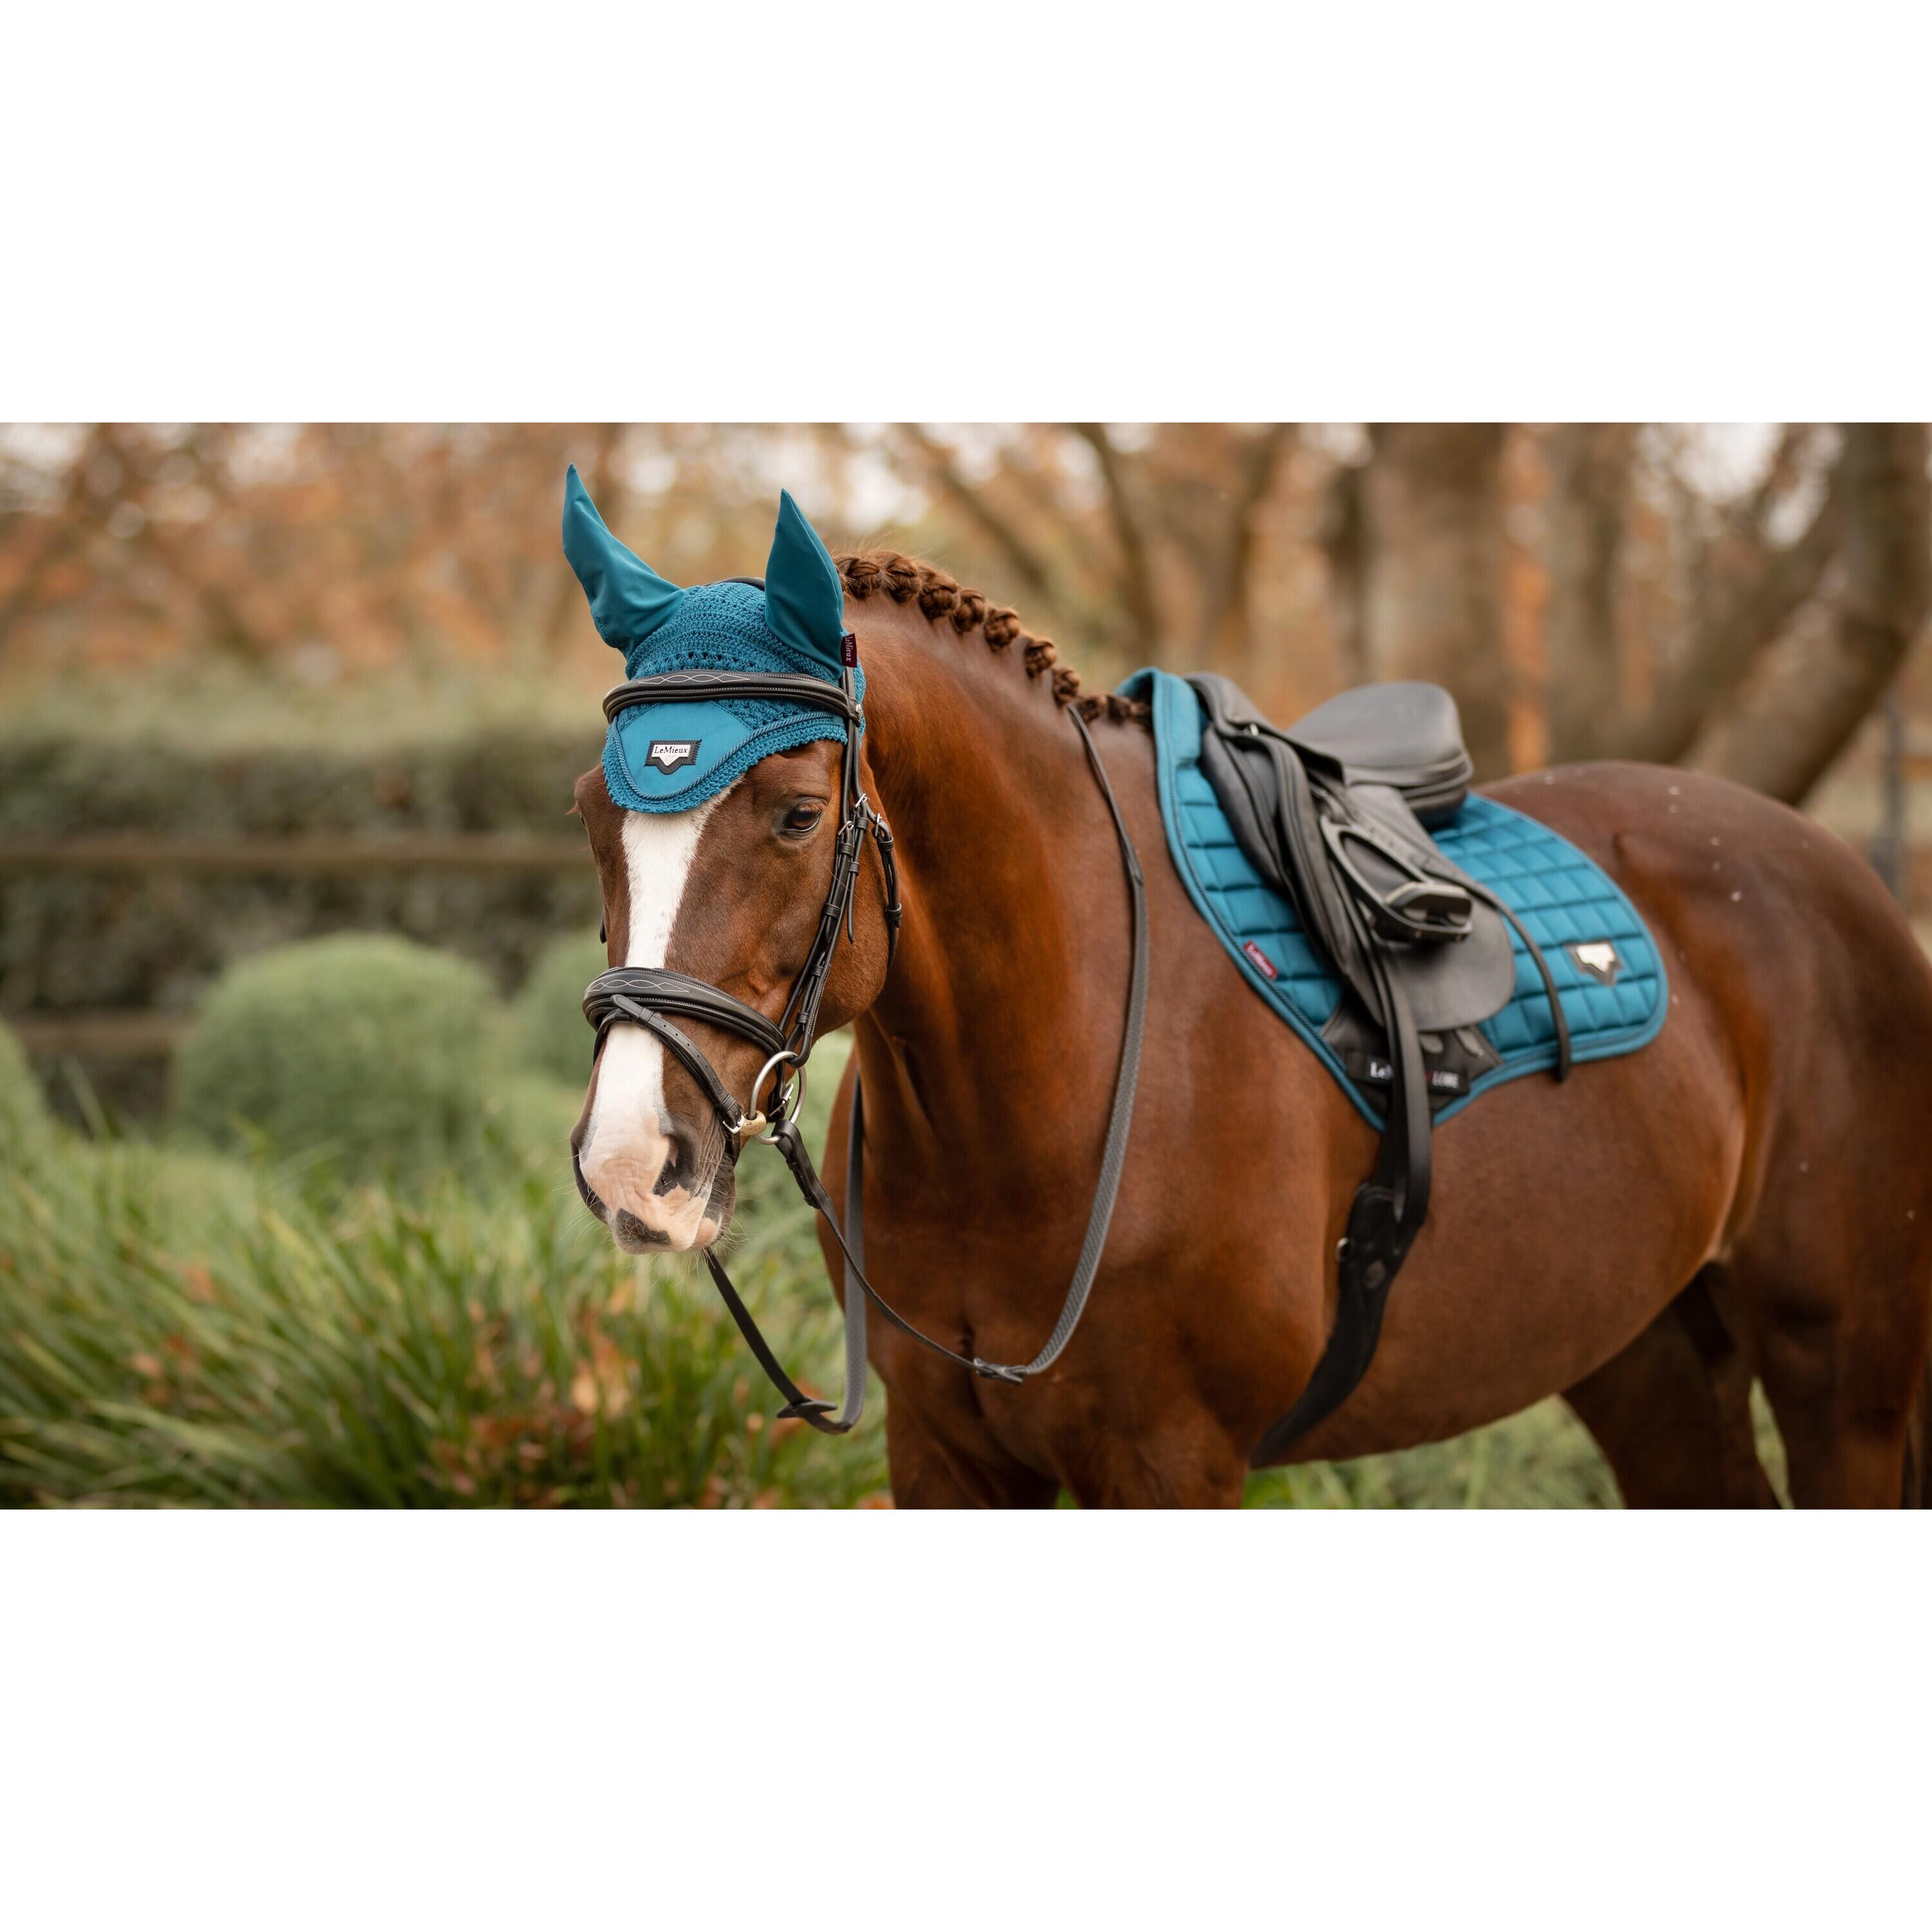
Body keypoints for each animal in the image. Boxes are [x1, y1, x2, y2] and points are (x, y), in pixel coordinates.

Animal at [569, 544, 1932, 1508]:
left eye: (799, 813)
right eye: (590, 808)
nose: (632, 1163)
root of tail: (1842, 874)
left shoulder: (1174, 1460)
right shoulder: (948, 1455)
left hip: (1844, 1385)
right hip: (1643, 1352)